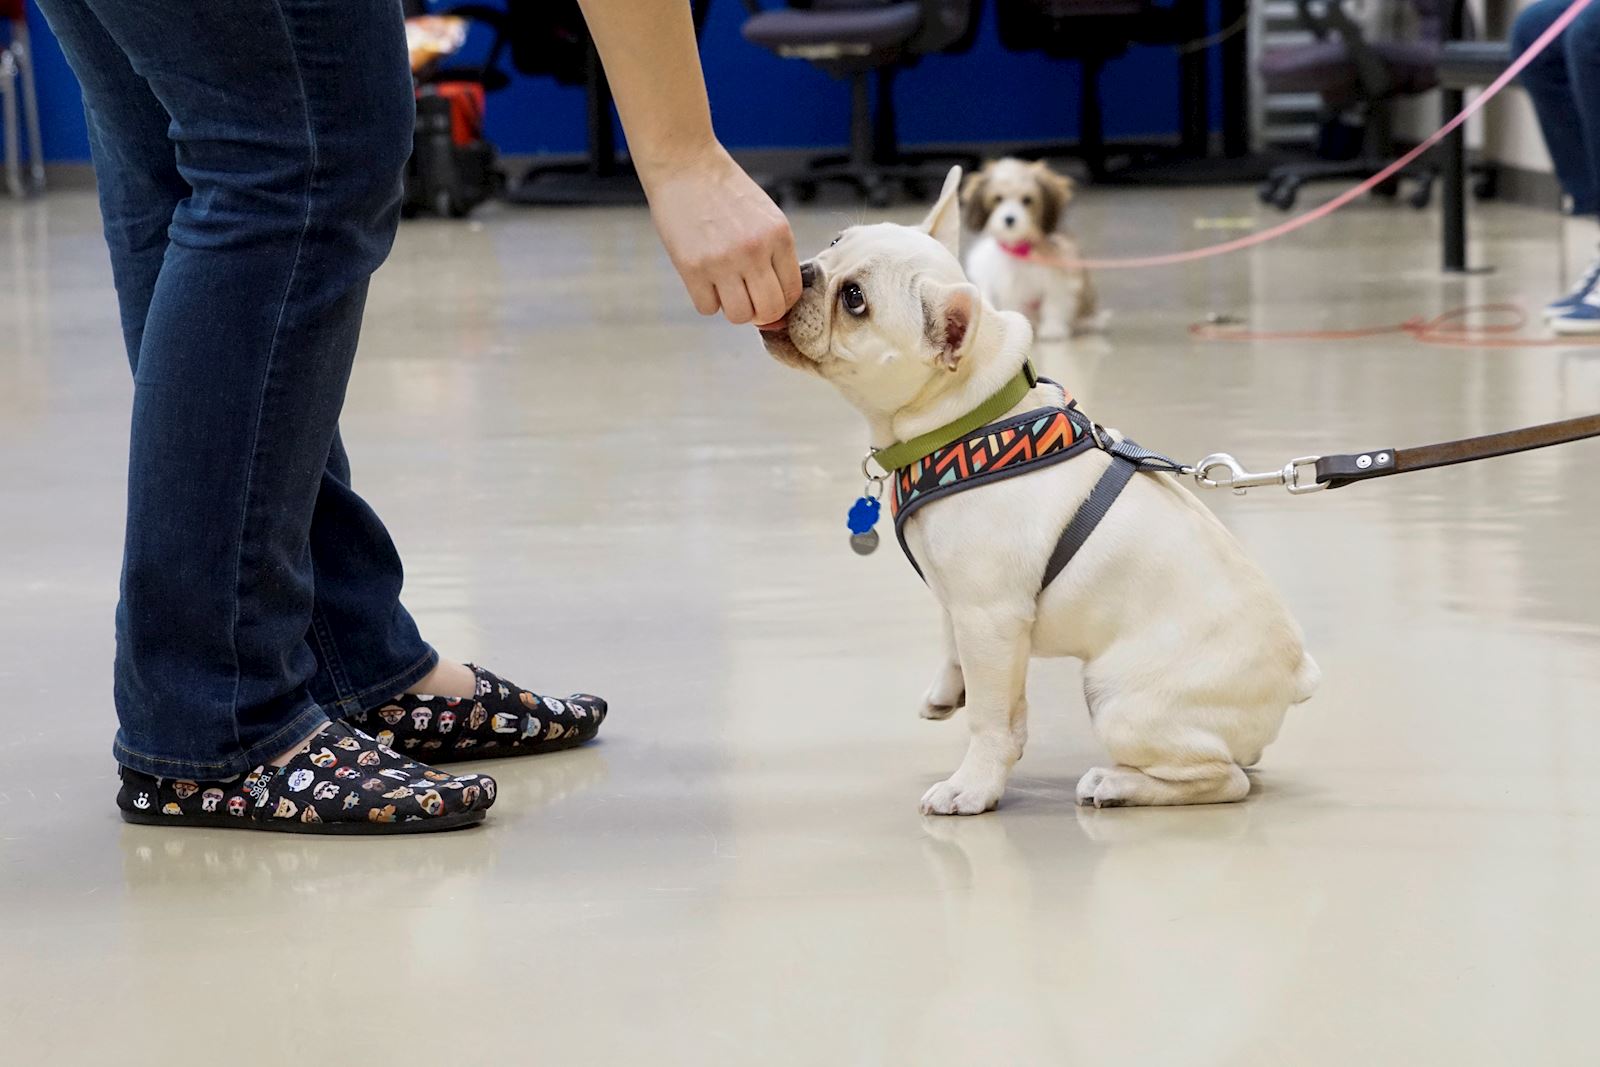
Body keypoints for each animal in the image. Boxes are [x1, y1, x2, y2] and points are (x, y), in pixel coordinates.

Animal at [953, 158, 1107, 340]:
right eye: (998, 198)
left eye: (1027, 199)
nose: (1009, 219)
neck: (1020, 250)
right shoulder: (991, 275)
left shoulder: (1060, 272)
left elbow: (1054, 301)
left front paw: (1052, 328)